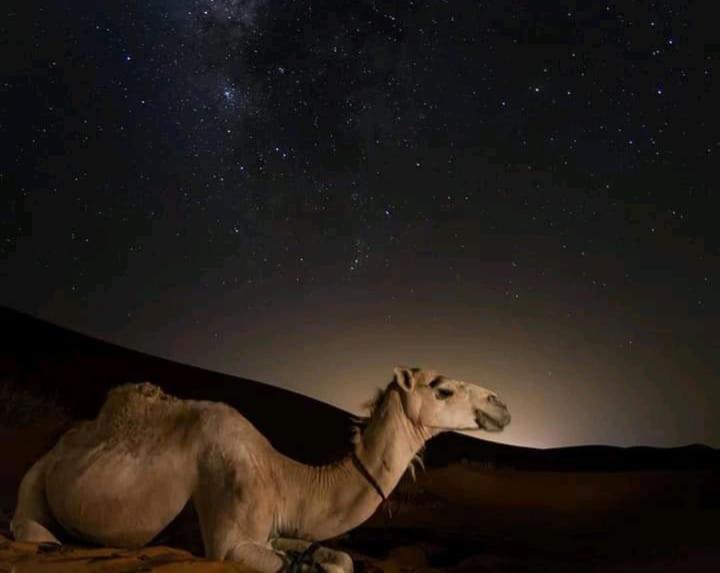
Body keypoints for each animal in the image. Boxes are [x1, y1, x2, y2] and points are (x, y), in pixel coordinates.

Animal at [8, 366, 510, 572]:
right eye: (442, 388)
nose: (501, 404)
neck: (284, 476)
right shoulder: (230, 540)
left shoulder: (275, 529)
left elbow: (340, 560)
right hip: (37, 477)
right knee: (32, 529)